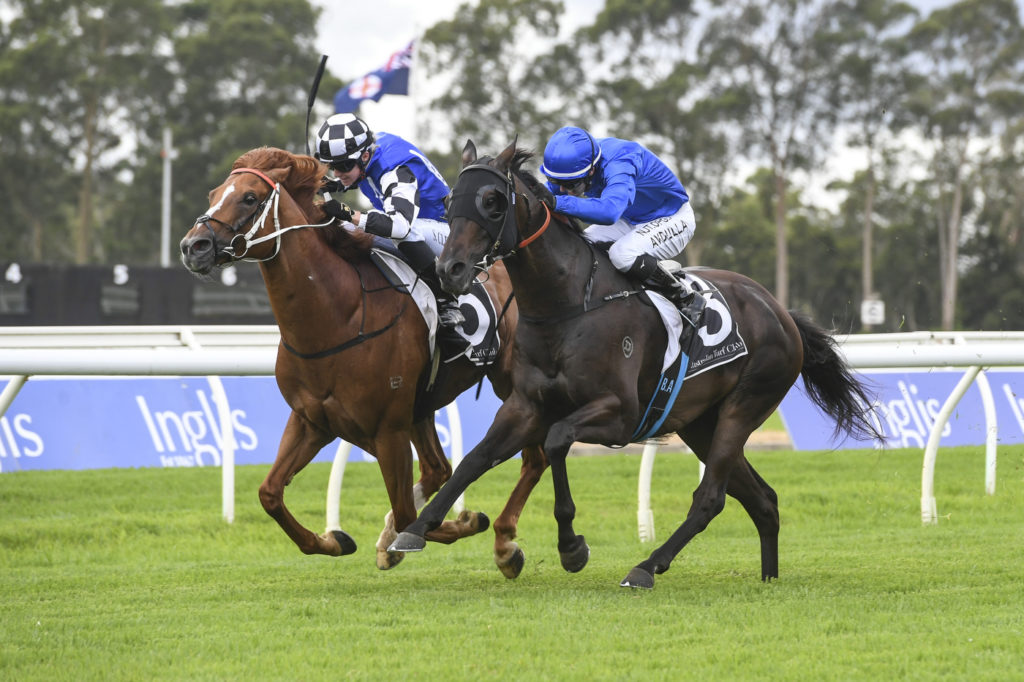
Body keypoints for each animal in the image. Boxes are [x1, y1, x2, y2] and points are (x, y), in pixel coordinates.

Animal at [179, 146, 547, 573]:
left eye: (250, 198)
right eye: (213, 194)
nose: (193, 246)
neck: (338, 317)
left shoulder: (387, 430)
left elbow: (407, 516)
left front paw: (459, 522)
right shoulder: (312, 421)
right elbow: (269, 494)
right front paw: (335, 539)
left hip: (509, 386)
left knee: (532, 459)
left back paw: (505, 547)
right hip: (421, 406)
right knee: (439, 467)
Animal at [389, 139, 883, 589]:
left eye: (492, 201)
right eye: (448, 201)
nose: (449, 269)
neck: (567, 305)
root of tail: (781, 311)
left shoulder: (620, 415)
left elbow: (557, 439)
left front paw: (572, 548)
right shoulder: (524, 404)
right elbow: (476, 458)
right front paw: (413, 530)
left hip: (744, 407)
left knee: (711, 497)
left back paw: (647, 566)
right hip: (700, 422)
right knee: (763, 500)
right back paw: (767, 578)